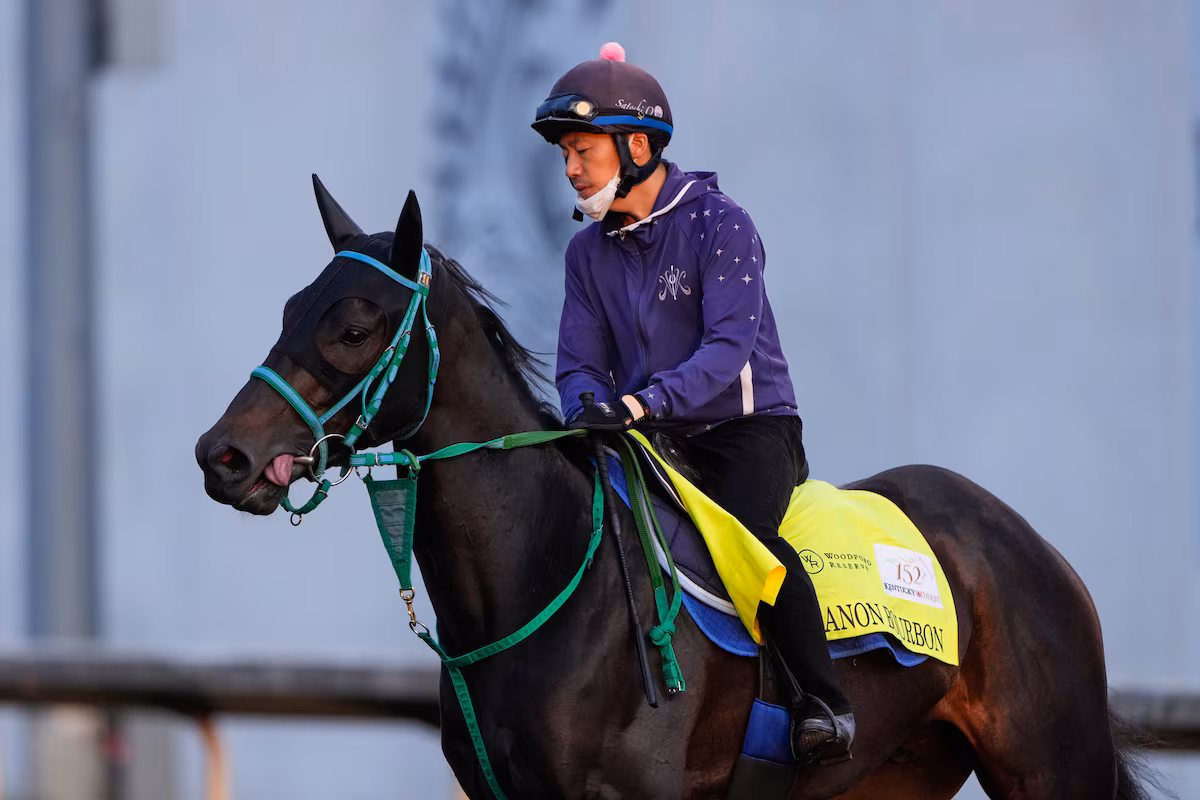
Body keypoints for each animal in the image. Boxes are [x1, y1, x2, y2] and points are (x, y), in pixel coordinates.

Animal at [195, 178, 1156, 799]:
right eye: (289, 309)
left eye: (355, 327)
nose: (223, 455)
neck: (542, 578)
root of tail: (1028, 543)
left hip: (1051, 766)